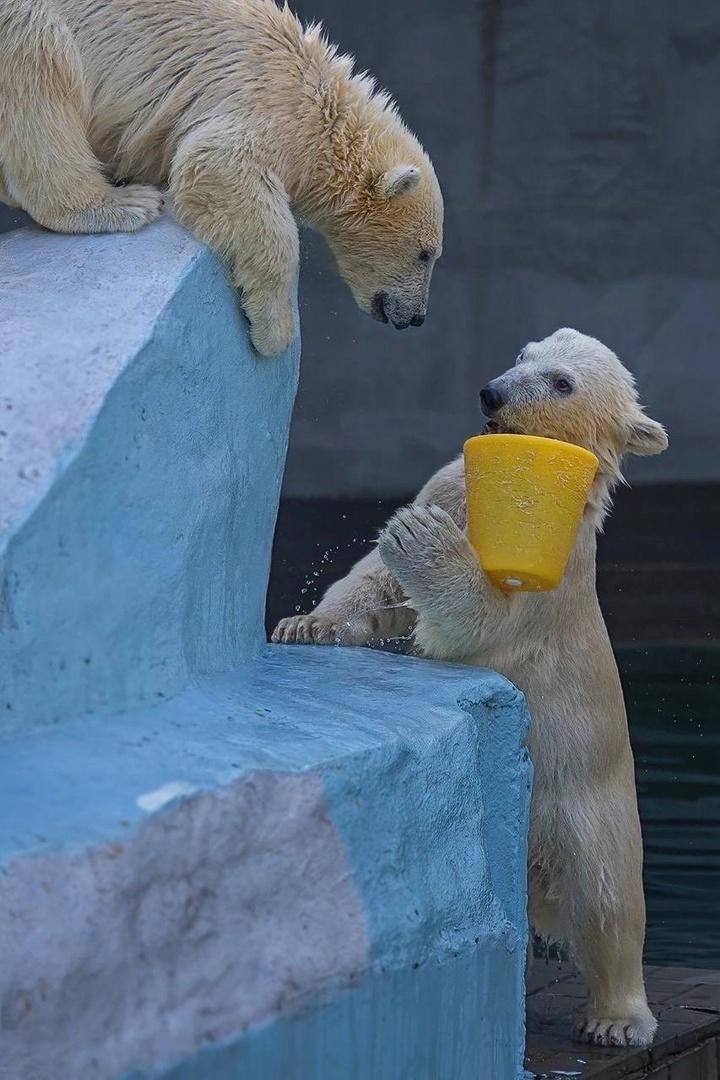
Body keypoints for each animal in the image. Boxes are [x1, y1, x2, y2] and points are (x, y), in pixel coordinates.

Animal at [0, 0, 442, 356]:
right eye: (424, 253)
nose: (417, 317)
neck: (323, 105)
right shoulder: (265, 103)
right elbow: (218, 164)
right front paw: (273, 333)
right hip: (27, 26)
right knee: (38, 77)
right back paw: (121, 205)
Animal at [273, 324, 669, 1041]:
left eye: (561, 381)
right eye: (523, 355)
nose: (492, 392)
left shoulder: (553, 568)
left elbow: (478, 615)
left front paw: (423, 540)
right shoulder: (455, 483)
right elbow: (377, 580)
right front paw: (307, 623)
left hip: (587, 802)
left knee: (607, 901)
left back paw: (618, 1019)